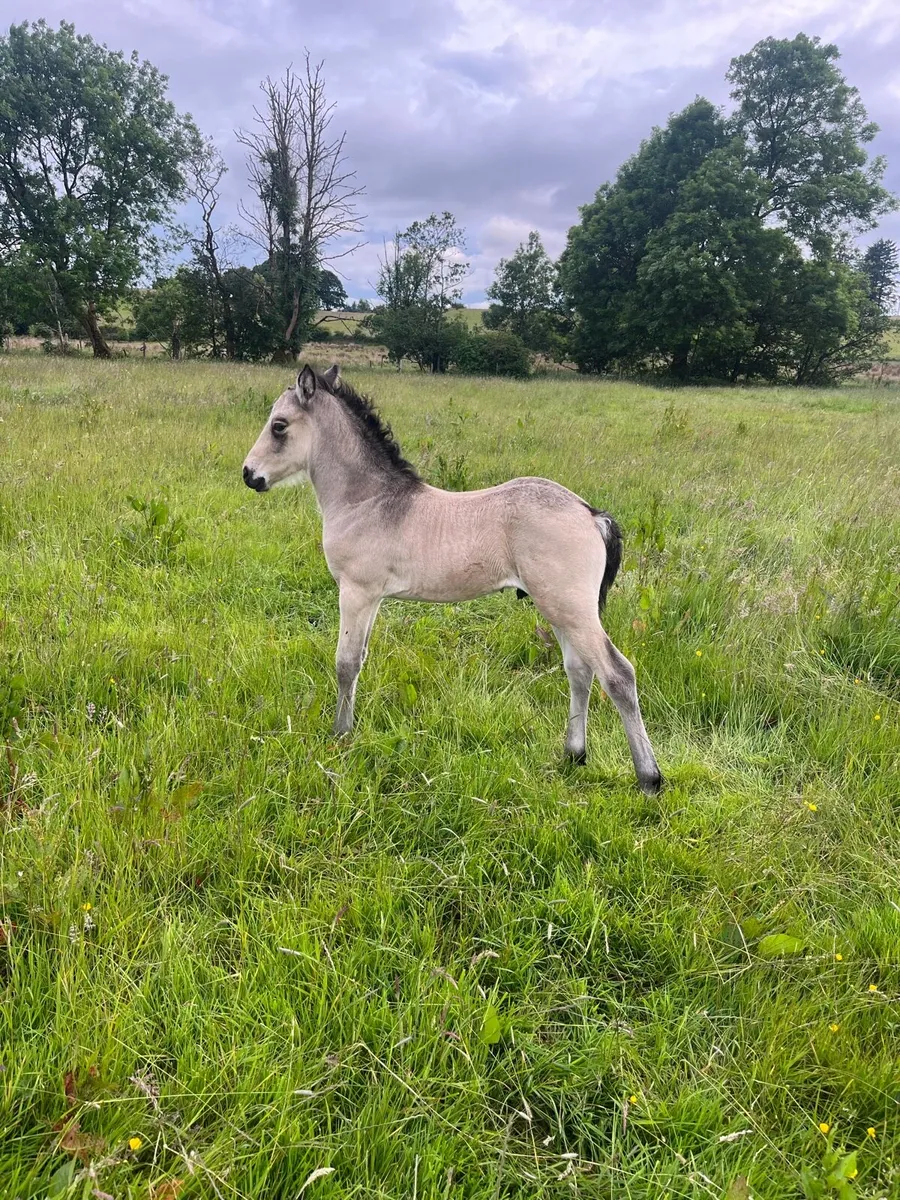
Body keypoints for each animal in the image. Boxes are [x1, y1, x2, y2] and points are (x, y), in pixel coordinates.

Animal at [242, 365, 662, 794]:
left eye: (278, 425)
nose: (249, 474)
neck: (369, 501)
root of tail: (590, 513)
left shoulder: (355, 592)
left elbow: (346, 663)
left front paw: (340, 735)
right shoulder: (373, 598)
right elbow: (359, 659)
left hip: (571, 609)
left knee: (617, 674)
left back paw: (649, 777)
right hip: (559, 609)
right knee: (579, 671)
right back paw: (573, 755)